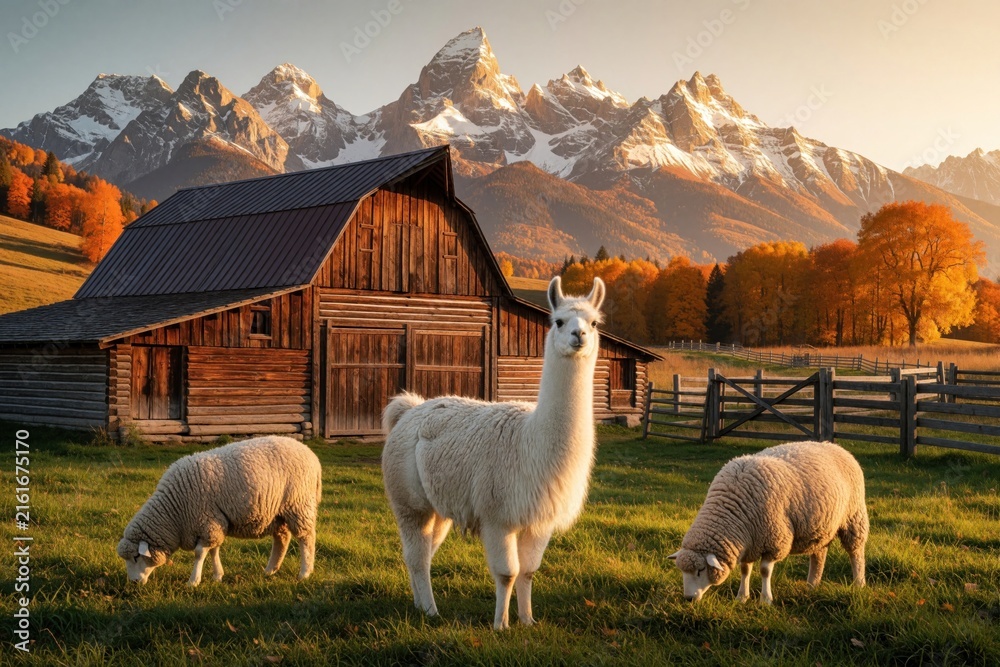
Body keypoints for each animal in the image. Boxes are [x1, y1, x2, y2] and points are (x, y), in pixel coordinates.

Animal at [117, 435, 322, 586]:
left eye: (136, 556)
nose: (133, 583)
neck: (174, 511)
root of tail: (311, 455)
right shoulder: (212, 523)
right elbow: (214, 550)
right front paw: (217, 576)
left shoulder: (206, 521)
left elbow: (200, 553)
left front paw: (193, 581)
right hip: (278, 513)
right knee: (282, 539)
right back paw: (270, 570)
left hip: (299, 504)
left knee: (306, 538)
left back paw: (304, 573)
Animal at [381, 276, 606, 629]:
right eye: (558, 321)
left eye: (594, 322)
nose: (579, 335)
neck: (532, 442)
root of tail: (410, 409)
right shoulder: (497, 515)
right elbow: (507, 573)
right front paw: (501, 624)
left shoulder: (539, 520)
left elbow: (528, 571)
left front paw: (527, 620)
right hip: (408, 500)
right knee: (417, 555)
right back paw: (431, 610)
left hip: (438, 505)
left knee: (422, 552)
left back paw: (419, 604)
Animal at [669, 440, 868, 604]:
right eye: (682, 571)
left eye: (701, 570)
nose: (688, 599)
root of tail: (835, 446)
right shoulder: (749, 542)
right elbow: (745, 569)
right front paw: (742, 597)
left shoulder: (774, 541)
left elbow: (765, 571)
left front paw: (765, 600)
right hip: (821, 526)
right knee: (819, 554)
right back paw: (812, 585)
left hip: (853, 515)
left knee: (855, 551)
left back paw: (859, 583)